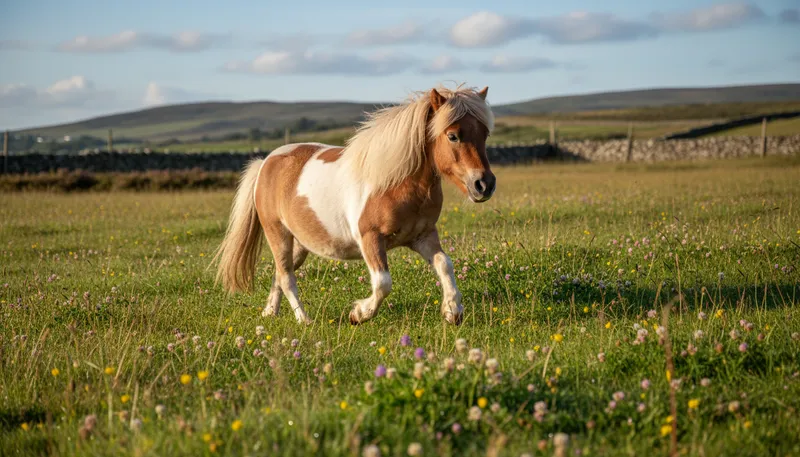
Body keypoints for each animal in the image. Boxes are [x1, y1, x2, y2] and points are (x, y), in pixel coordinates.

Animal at [214, 85, 496, 326]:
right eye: (453, 136)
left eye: (485, 134)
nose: (484, 184)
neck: (396, 183)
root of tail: (266, 162)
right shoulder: (370, 239)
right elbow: (383, 283)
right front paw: (359, 314)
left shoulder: (423, 236)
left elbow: (444, 264)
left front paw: (452, 311)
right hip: (278, 234)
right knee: (286, 278)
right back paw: (304, 320)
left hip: (300, 244)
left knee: (279, 274)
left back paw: (270, 312)